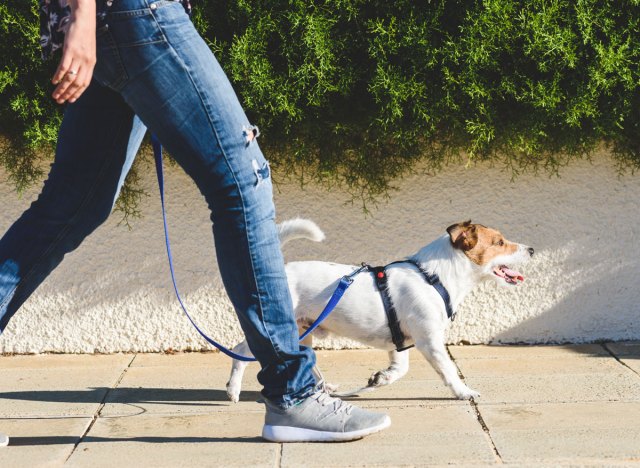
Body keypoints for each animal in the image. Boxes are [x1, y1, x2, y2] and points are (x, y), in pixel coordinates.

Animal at [222, 218, 532, 400]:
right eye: (499, 242)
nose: (531, 249)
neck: (434, 277)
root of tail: (280, 272)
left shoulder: (400, 342)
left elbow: (400, 368)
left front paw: (381, 379)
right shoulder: (429, 341)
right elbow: (448, 370)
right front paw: (463, 391)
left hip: (302, 332)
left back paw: (326, 389)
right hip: (277, 330)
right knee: (240, 352)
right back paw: (233, 390)